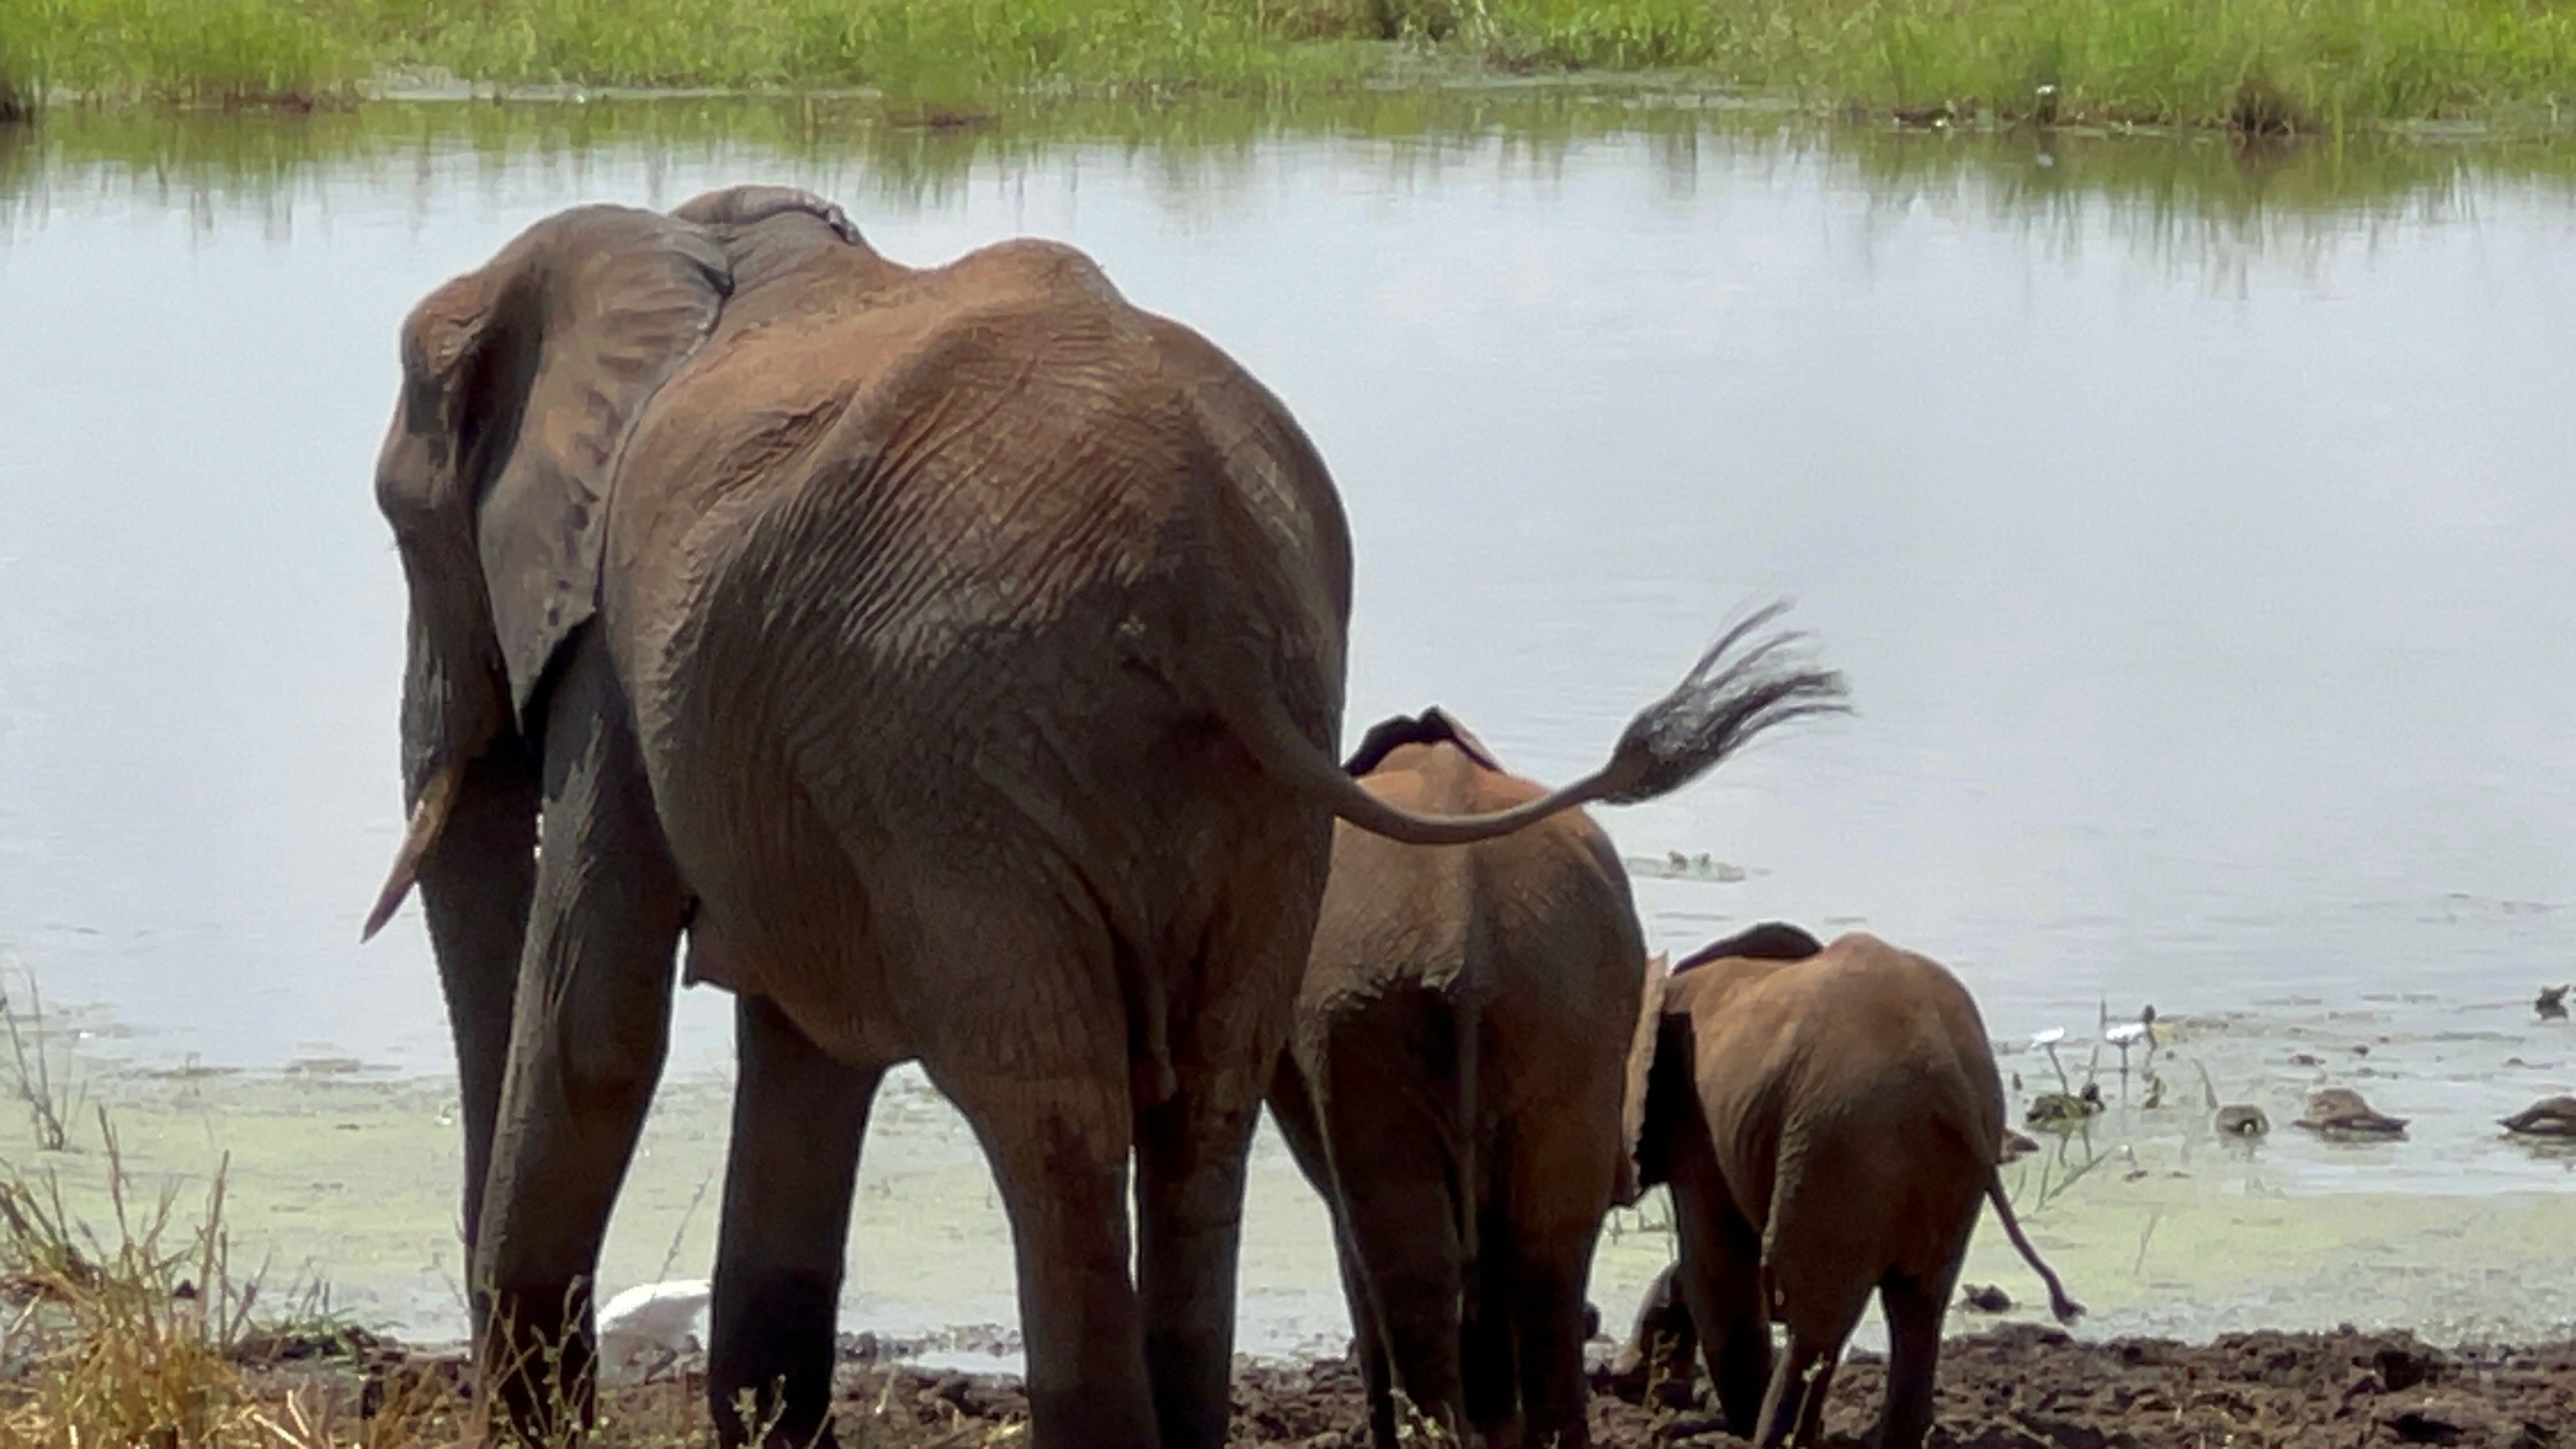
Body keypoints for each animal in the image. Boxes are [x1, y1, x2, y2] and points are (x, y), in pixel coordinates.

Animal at [363, 183, 1844, 1443]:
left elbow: (598, 1031)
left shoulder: (624, 657)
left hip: (963, 758)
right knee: (1206, 1111)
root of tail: (1198, 568)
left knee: (1050, 1120)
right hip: (1244, 796)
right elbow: (805, 1050)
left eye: (396, 520)